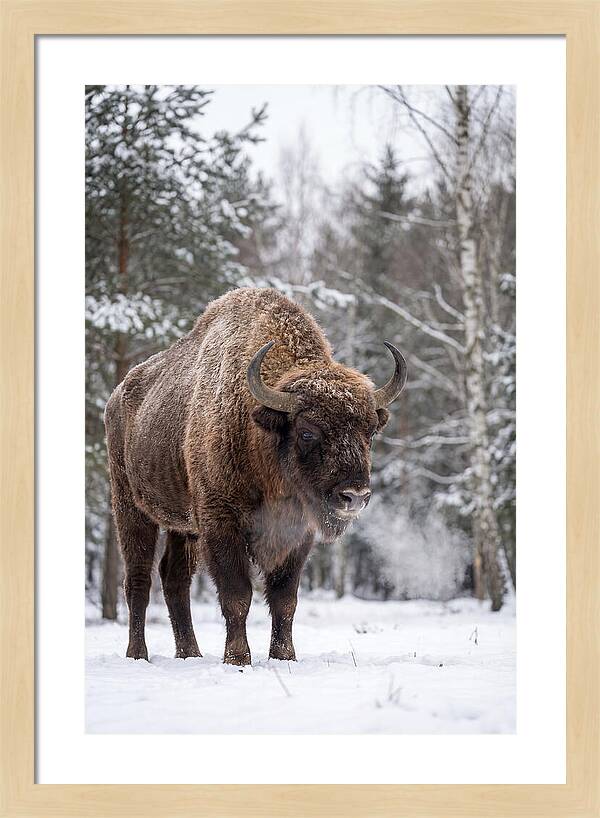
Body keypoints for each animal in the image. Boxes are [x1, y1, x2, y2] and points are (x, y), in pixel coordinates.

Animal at [105, 287, 407, 665]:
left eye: (369, 432)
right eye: (307, 431)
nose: (355, 496)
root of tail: (117, 397)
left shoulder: (297, 534)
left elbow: (284, 599)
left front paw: (284, 656)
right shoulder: (221, 523)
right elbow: (237, 595)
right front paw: (237, 659)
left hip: (182, 525)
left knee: (174, 579)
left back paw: (190, 654)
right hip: (131, 506)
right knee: (138, 580)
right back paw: (138, 654)